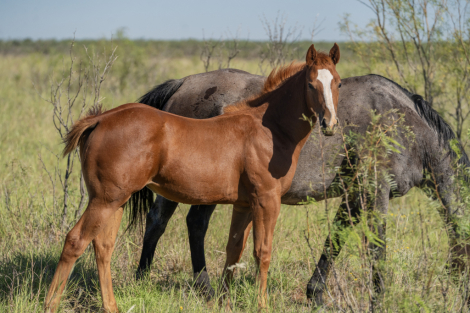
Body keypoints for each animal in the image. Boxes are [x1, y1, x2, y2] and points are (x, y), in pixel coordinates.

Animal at [45, 44, 342, 312]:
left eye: (337, 83)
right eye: (311, 84)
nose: (329, 124)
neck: (267, 130)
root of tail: (100, 119)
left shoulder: (244, 205)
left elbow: (234, 251)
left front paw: (225, 303)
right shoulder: (266, 201)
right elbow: (262, 252)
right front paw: (262, 306)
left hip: (116, 201)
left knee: (103, 247)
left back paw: (111, 306)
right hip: (104, 200)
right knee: (75, 241)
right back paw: (51, 304)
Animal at [134, 69, 468, 304]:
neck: (402, 122)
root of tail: (182, 83)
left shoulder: (354, 195)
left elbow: (335, 239)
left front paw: (315, 292)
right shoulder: (375, 192)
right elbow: (377, 247)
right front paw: (379, 298)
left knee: (168, 223)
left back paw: (150, 281)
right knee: (184, 224)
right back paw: (195, 286)